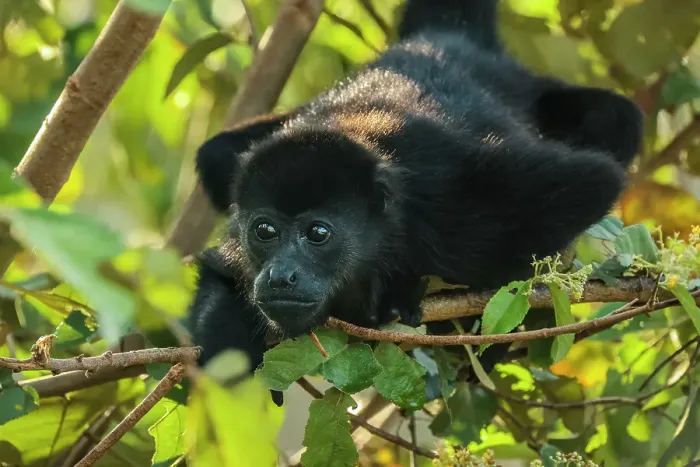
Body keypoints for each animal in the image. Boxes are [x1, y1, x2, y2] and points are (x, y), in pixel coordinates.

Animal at [187, 0, 643, 404]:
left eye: (318, 233)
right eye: (264, 230)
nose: (281, 276)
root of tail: (443, 38)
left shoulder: (456, 204)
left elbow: (593, 180)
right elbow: (220, 272)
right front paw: (224, 343)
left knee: (619, 119)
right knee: (214, 154)